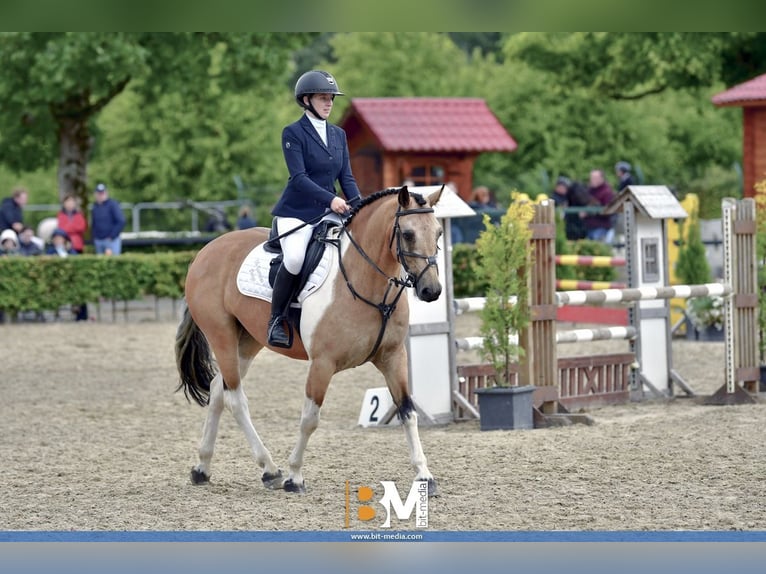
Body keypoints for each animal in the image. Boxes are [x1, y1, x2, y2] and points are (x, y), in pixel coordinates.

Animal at [176, 187, 444, 498]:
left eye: (438, 232)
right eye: (408, 234)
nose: (431, 291)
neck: (365, 283)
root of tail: (206, 250)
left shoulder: (393, 358)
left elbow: (408, 412)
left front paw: (424, 475)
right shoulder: (322, 364)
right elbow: (309, 419)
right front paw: (295, 477)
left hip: (247, 341)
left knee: (219, 390)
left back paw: (202, 467)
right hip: (221, 335)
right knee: (235, 398)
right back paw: (270, 469)